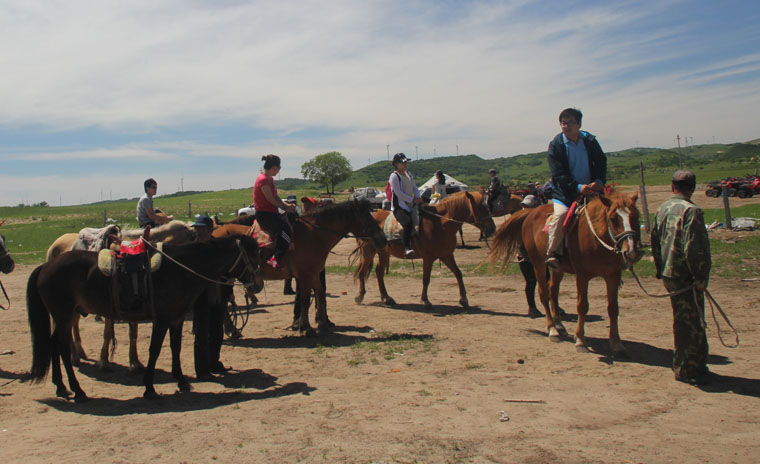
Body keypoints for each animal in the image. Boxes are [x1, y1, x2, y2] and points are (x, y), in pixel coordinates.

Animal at [26, 234, 264, 400]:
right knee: (62, 348)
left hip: (62, 317)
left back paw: (61, 387)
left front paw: (181, 381)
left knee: (54, 345)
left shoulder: (176, 318)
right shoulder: (163, 319)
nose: (258, 284)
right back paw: (78, 391)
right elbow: (155, 350)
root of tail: (45, 266)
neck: (181, 269)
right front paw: (149, 387)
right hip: (64, 316)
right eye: (252, 256)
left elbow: (175, 348)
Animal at [212, 198, 386, 336]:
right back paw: (232, 328)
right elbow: (304, 299)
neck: (314, 234)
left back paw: (232, 329)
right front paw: (306, 328)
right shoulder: (305, 275)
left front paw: (322, 324)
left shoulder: (313, 274)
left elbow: (320, 295)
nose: (383, 239)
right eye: (367, 217)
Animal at [354, 190, 496, 310]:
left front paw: (464, 299)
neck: (440, 224)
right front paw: (425, 301)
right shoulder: (428, 257)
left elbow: (458, 273)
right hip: (368, 252)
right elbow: (426, 278)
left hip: (383, 252)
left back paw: (386, 298)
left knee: (379, 272)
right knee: (362, 272)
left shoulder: (447, 255)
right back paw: (360, 296)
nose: (492, 228)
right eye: (481, 207)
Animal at [490, 190, 644, 358]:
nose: (632, 252)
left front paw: (617, 345)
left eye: (636, 216)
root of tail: (531, 213)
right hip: (538, 264)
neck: (596, 239)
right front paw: (581, 340)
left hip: (558, 268)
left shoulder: (613, 276)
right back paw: (552, 330)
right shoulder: (583, 275)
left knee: (553, 291)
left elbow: (613, 308)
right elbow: (582, 306)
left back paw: (559, 325)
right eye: (613, 218)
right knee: (544, 293)